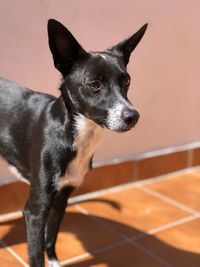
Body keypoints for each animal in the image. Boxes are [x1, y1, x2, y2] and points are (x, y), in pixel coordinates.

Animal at [0, 19, 147, 267]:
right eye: (94, 85)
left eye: (126, 80)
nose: (132, 116)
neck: (76, 135)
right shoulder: (35, 211)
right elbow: (36, 255)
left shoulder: (62, 199)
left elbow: (51, 238)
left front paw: (54, 261)